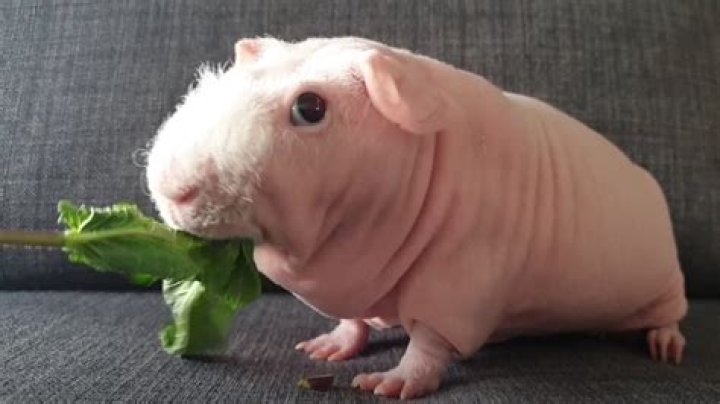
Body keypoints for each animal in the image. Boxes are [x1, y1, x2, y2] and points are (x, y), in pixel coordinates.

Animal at [146, 37, 688, 399]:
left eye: (310, 107)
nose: (173, 190)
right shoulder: (355, 276)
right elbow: (353, 319)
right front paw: (326, 348)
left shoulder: (459, 275)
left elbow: (429, 340)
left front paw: (389, 383)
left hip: (664, 286)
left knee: (669, 317)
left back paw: (666, 346)